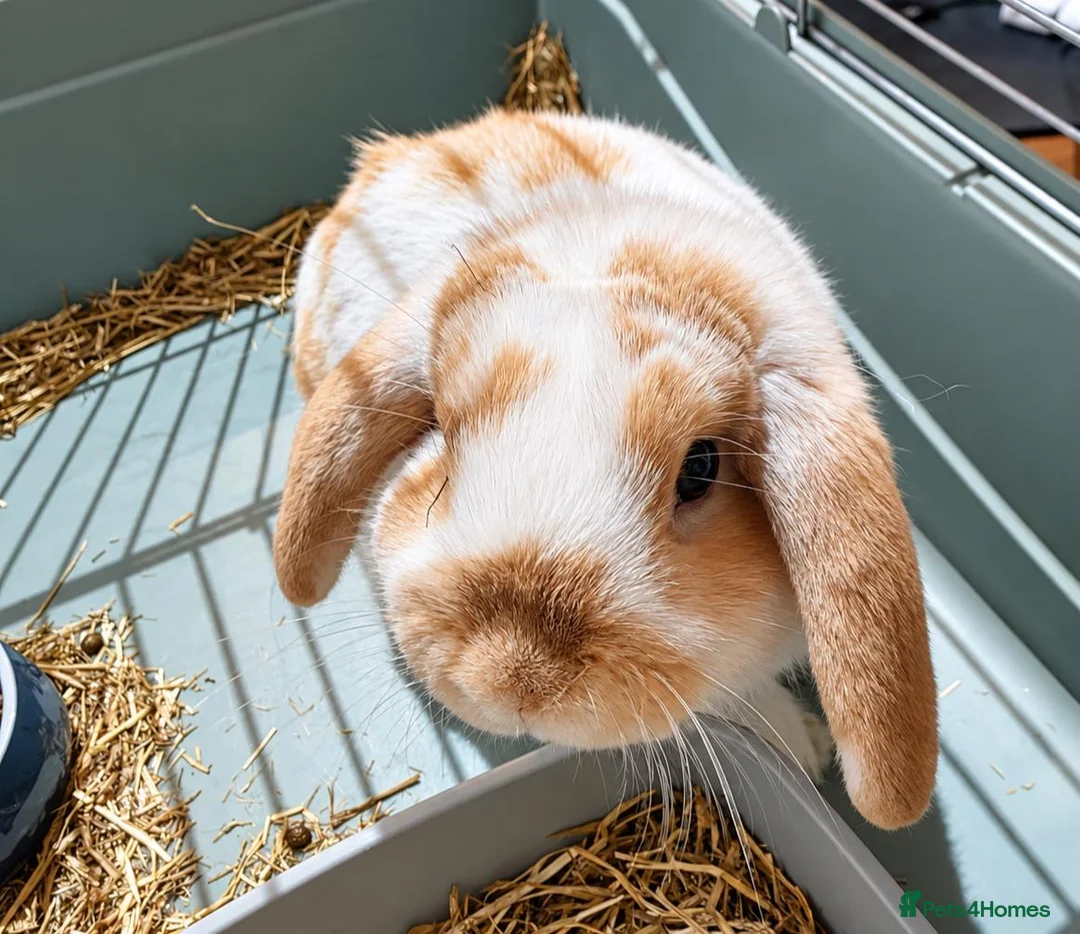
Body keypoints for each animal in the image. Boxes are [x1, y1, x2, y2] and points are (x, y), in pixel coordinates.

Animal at [273, 107, 938, 830]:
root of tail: (392, 157)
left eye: (699, 469)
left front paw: (806, 749)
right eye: (442, 433)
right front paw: (802, 745)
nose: (512, 677)